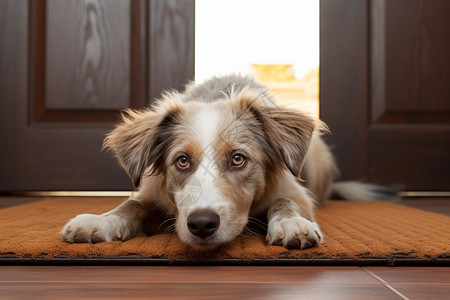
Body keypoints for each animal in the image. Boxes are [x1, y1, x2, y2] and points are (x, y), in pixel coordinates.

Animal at [60, 74, 398, 250]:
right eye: (182, 161)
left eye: (238, 159)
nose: (201, 224)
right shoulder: (152, 190)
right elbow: (131, 205)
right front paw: (100, 221)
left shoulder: (295, 192)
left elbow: (284, 202)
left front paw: (290, 224)